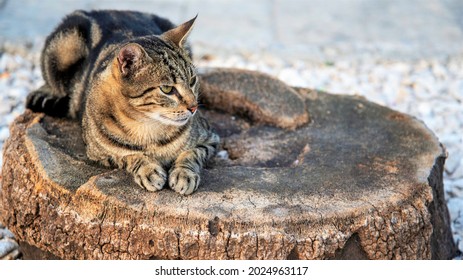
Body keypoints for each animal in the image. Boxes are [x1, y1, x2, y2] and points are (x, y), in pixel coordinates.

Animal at [26, 10, 220, 195]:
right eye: (166, 89)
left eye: (192, 80)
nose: (194, 107)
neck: (148, 127)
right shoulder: (98, 154)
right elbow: (128, 155)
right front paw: (148, 169)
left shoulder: (210, 138)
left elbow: (191, 153)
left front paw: (184, 174)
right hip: (64, 47)